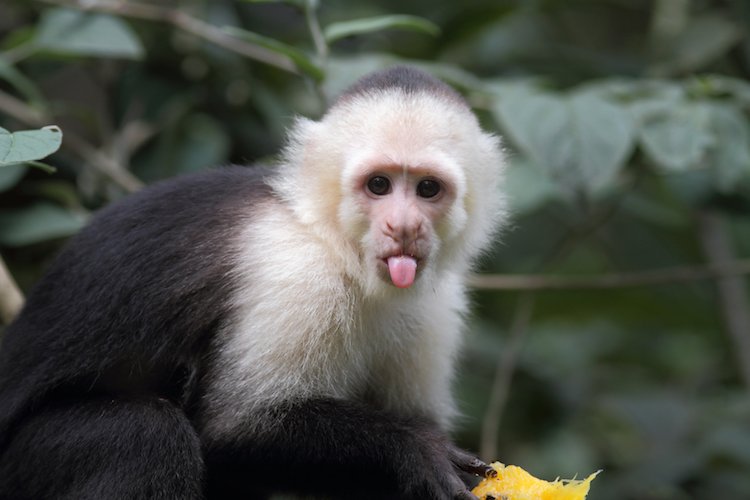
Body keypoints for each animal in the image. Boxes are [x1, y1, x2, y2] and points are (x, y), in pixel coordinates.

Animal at [0, 66, 506, 499]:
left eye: (427, 189)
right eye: (379, 185)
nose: (403, 227)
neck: (338, 249)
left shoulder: (436, 306)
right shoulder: (296, 272)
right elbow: (234, 428)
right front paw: (415, 445)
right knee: (146, 437)